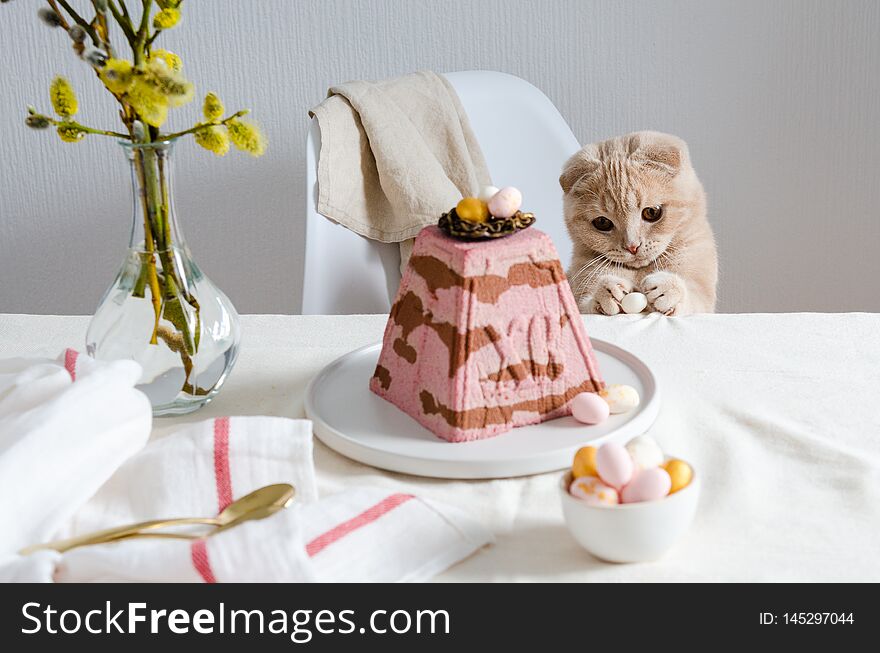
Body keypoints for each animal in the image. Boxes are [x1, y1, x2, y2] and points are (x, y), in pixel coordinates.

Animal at [560, 131, 720, 314]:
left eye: (652, 212)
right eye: (602, 222)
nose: (632, 246)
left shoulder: (702, 294)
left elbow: (693, 302)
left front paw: (669, 289)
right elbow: (584, 306)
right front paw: (605, 293)